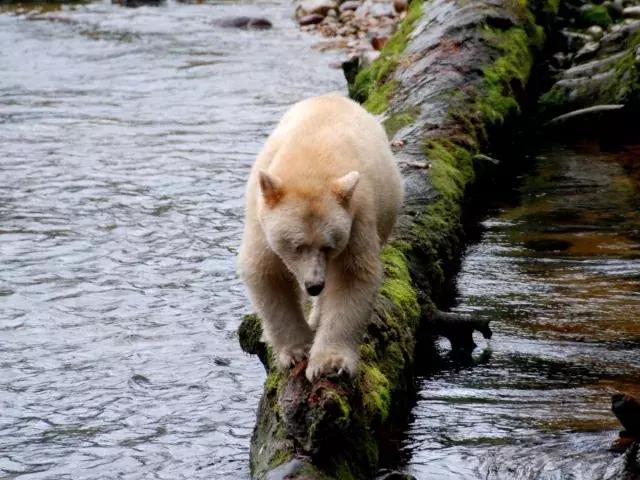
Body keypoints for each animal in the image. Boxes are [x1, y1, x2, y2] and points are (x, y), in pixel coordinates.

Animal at [238, 94, 402, 380]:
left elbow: (352, 275)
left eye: (328, 246)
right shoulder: (260, 216)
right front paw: (296, 351)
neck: (311, 159)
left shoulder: (357, 214)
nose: (314, 285)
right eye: (297, 246)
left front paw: (330, 363)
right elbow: (267, 271)